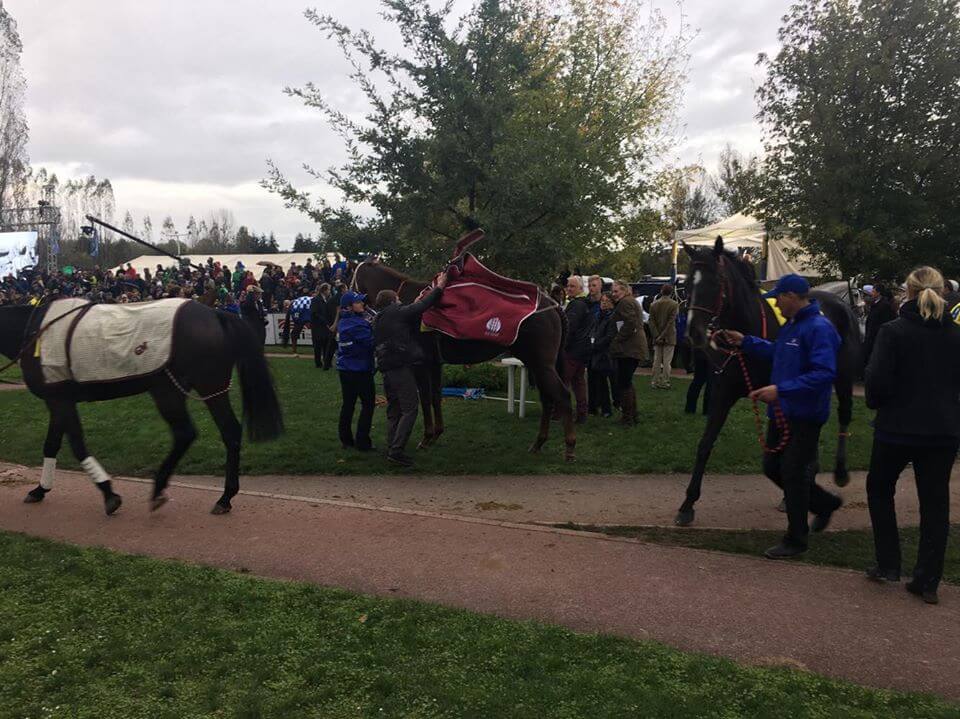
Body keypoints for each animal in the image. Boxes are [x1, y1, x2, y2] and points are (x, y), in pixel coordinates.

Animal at [0, 299, 284, 515]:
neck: (34, 332)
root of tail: (214, 313)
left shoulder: (59, 400)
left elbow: (77, 445)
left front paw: (109, 494)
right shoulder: (59, 400)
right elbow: (51, 444)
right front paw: (40, 489)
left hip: (180, 390)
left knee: (190, 433)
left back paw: (173, 491)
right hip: (194, 390)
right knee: (225, 432)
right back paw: (224, 497)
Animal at [352, 262, 578, 460]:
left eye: (350, 275)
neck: (409, 304)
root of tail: (553, 305)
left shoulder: (421, 365)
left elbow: (424, 398)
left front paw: (426, 437)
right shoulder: (435, 364)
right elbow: (435, 397)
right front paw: (436, 435)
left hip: (541, 365)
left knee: (563, 396)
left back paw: (569, 448)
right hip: (536, 365)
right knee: (547, 399)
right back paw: (538, 443)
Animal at [674, 237, 861, 527]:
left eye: (715, 282)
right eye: (686, 286)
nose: (693, 332)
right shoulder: (723, 392)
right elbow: (705, 443)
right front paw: (687, 504)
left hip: (841, 377)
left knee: (843, 414)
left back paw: (839, 472)